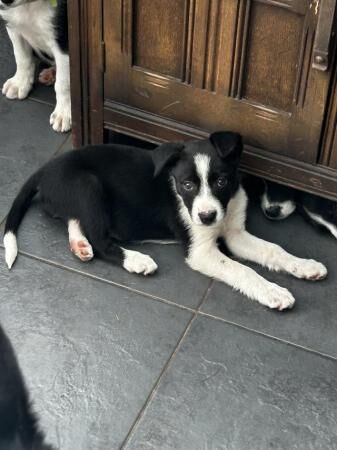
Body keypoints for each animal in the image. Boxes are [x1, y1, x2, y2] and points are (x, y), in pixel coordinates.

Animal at [0, 0, 70, 132]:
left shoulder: (63, 41)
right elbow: (21, 58)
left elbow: (63, 83)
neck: (29, 5)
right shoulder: (13, 25)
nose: (6, 1)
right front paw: (19, 83)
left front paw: (64, 113)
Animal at [3, 132, 328, 312]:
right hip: (87, 184)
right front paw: (273, 292)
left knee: (75, 220)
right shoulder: (201, 250)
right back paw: (135, 260)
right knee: (100, 238)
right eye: (187, 185)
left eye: (222, 181)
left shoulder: (235, 232)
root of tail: (44, 169)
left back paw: (80, 245)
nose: (207, 216)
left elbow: (273, 249)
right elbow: (242, 269)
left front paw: (305, 266)